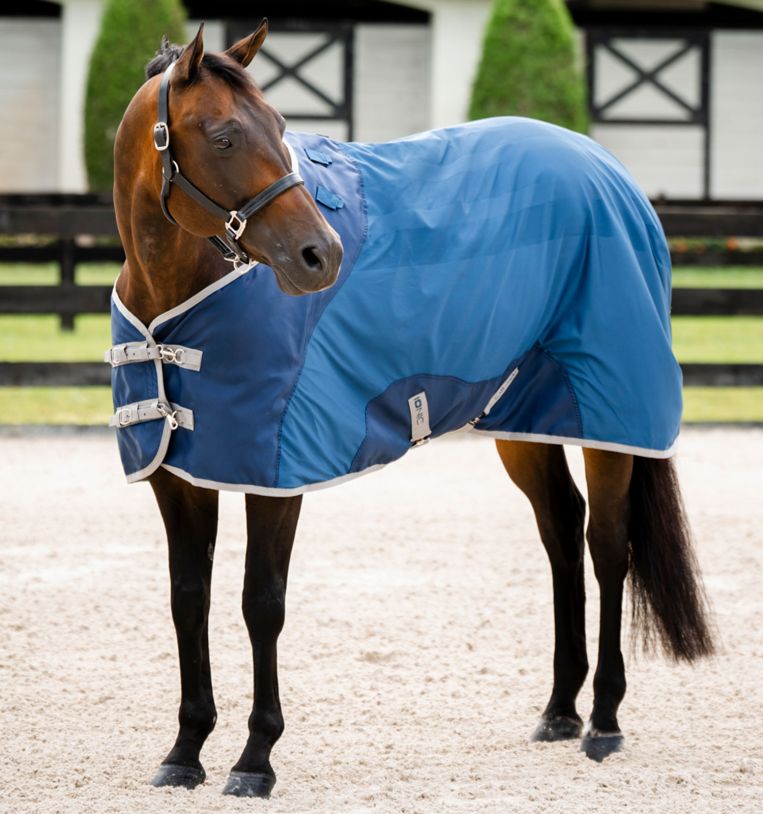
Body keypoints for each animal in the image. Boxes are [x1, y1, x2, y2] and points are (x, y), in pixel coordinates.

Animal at [110, 21, 714, 798]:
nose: (321, 254)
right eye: (222, 136)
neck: (179, 294)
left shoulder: (276, 474)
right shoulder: (178, 475)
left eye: (280, 126)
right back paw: (559, 710)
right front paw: (185, 751)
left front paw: (254, 759)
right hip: (526, 419)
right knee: (560, 533)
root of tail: (606, 168)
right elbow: (188, 598)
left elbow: (260, 603)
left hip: (610, 415)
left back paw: (604, 720)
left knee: (607, 546)